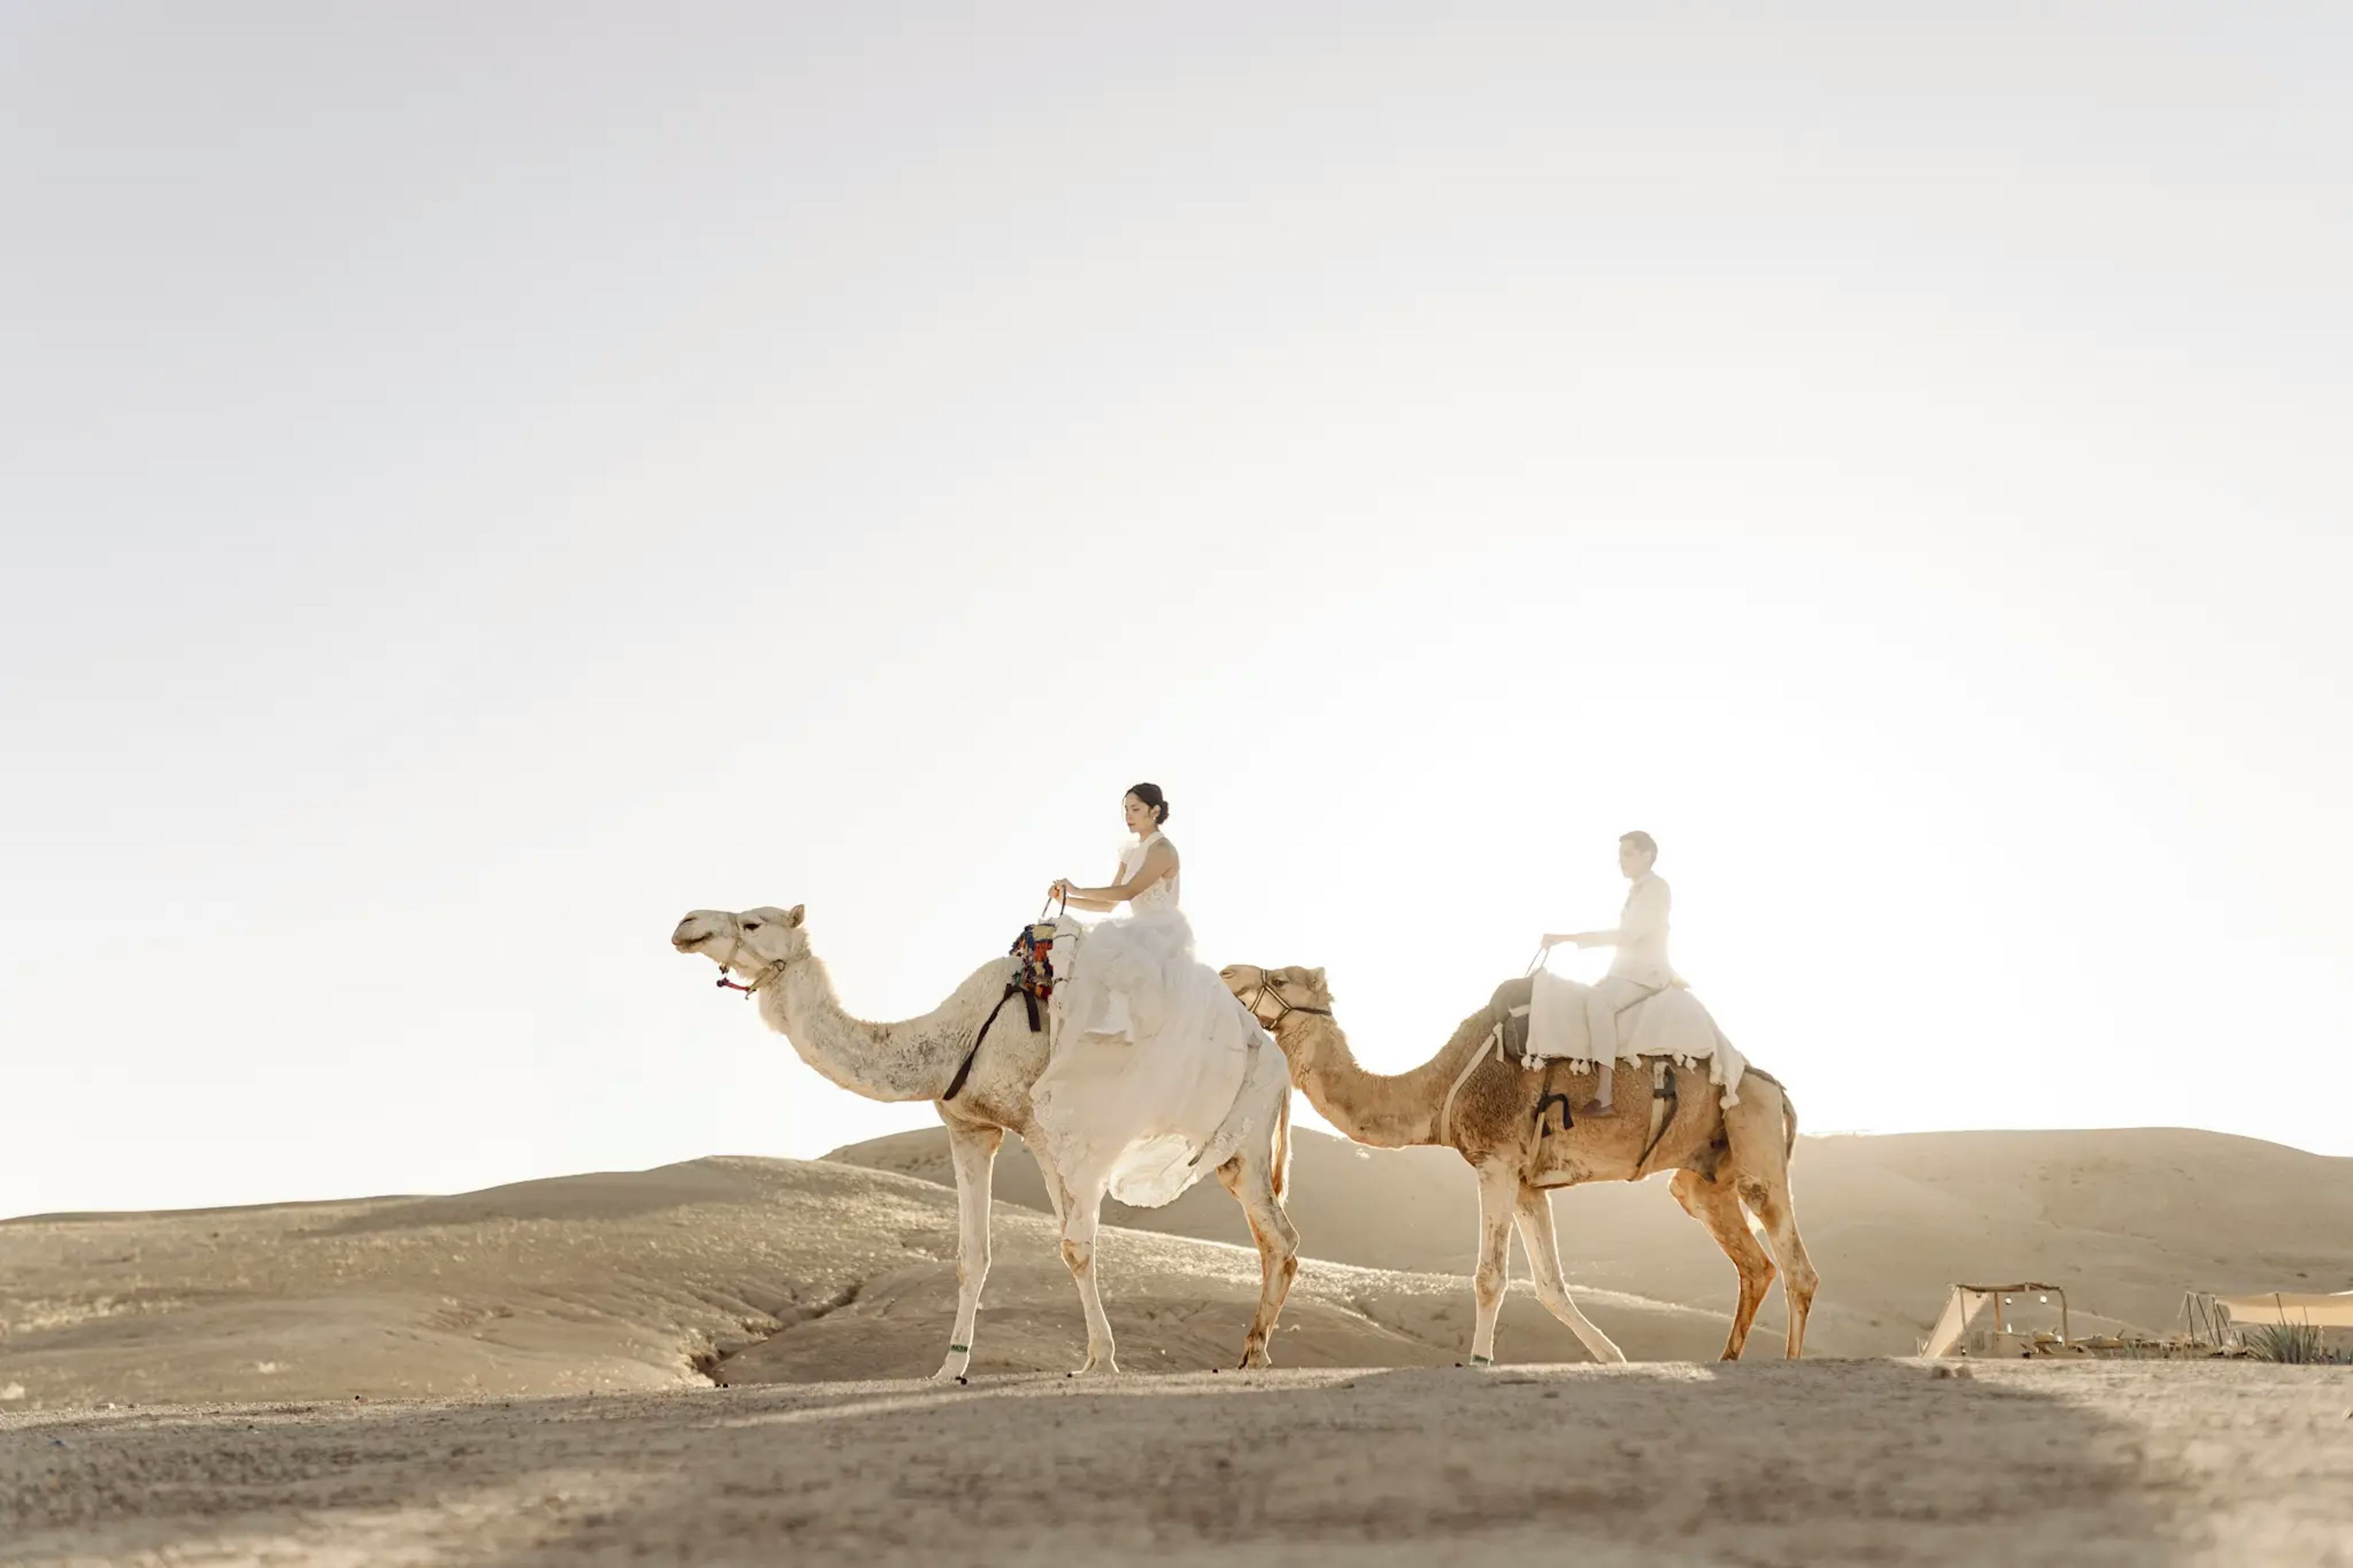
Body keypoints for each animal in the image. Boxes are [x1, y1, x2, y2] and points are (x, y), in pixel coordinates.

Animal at [668, 899, 1308, 1374]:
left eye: (754, 921)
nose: (686, 924)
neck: (949, 1038)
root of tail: (1276, 1053)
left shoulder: (1047, 1128)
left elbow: (1075, 1246)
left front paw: (1101, 1359)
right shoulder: (970, 1127)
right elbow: (971, 1256)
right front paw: (949, 1368)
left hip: (1247, 1137)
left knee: (1282, 1235)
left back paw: (1256, 1354)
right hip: (1231, 1151)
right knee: (1273, 1237)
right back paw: (1253, 1350)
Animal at [1223, 960, 1807, 1365]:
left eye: (1280, 975)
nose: (1228, 972)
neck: (1440, 1088)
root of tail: (1775, 1087)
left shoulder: (1497, 1162)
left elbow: (1490, 1276)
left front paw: (1480, 1359)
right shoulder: (1529, 1183)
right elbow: (1551, 1286)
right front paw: (1613, 1357)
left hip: (1754, 1139)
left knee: (1797, 1268)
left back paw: (1790, 1360)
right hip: (1703, 1178)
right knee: (1756, 1264)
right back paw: (1727, 1358)